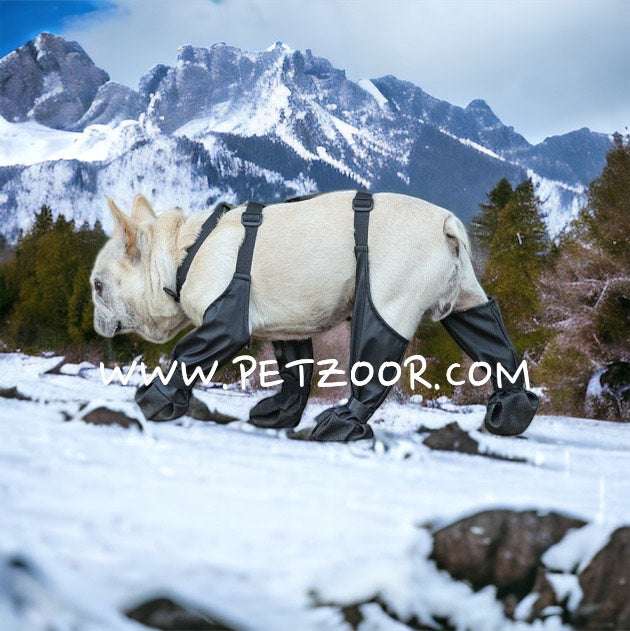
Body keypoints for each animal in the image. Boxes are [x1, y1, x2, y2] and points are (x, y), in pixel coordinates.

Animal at [91, 193, 492, 348]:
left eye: (97, 287)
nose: (96, 323)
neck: (180, 253)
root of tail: (446, 222)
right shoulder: (287, 328)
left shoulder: (223, 321)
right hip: (466, 294)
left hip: (390, 300)